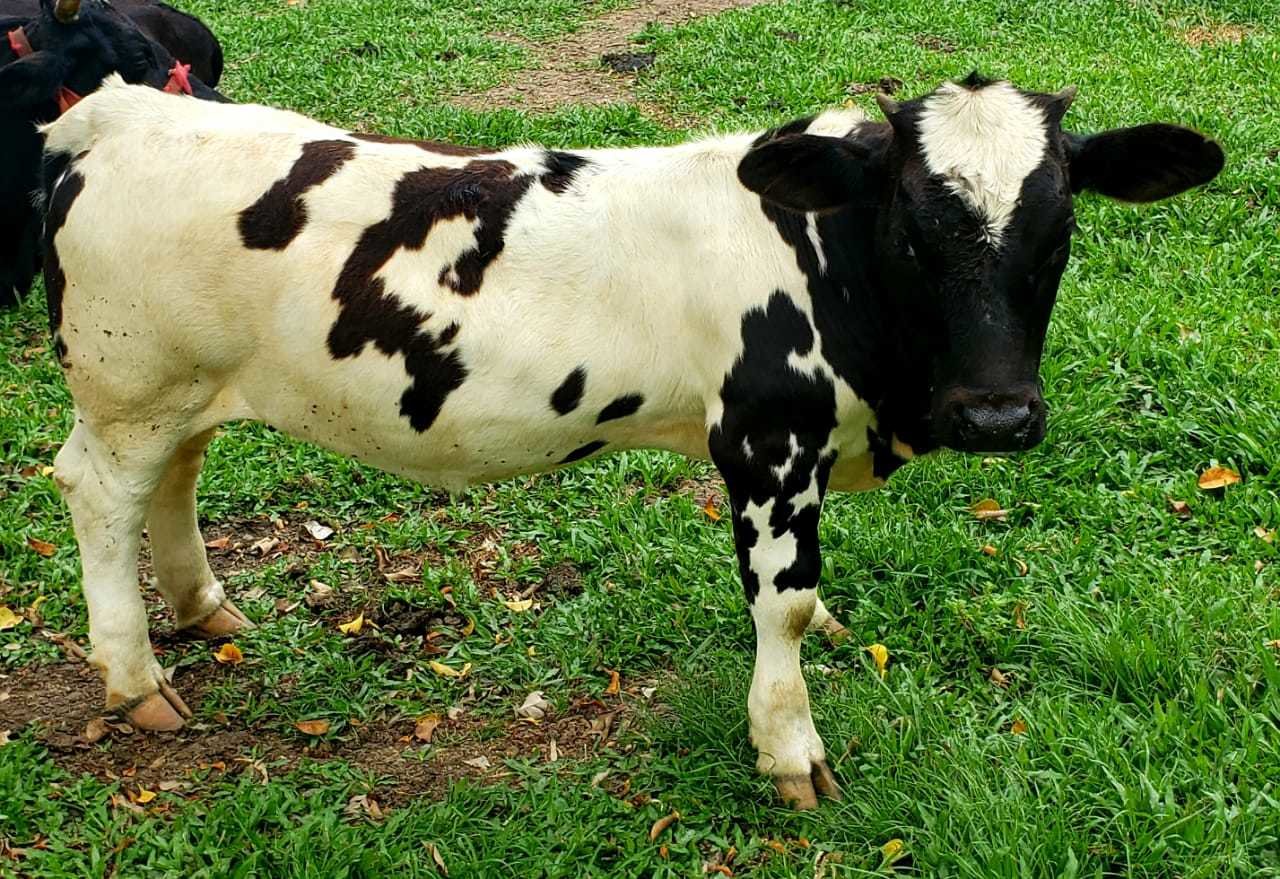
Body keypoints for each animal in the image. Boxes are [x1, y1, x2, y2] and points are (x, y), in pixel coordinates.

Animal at [41, 73, 1223, 808]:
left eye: (1058, 228)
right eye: (911, 227)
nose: (996, 416)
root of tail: (123, 111)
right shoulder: (765, 440)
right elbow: (783, 603)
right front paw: (789, 749)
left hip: (190, 389)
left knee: (175, 480)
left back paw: (205, 607)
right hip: (129, 386)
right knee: (99, 493)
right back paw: (136, 679)